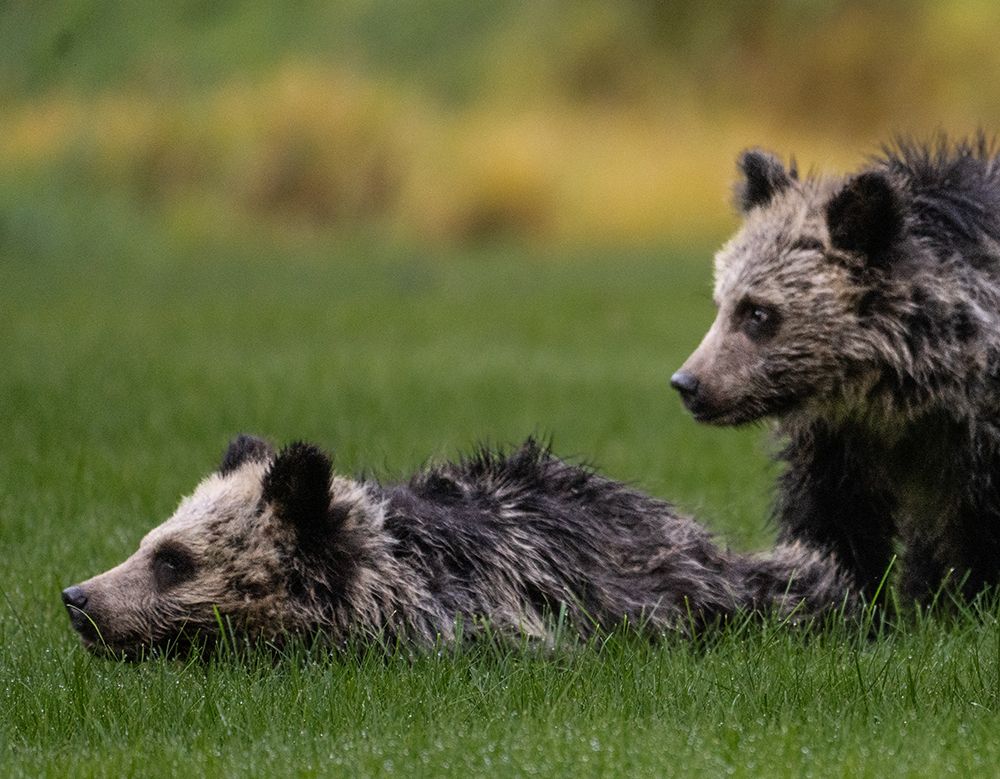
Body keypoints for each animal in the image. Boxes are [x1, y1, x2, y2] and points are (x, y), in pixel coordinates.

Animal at [671, 134, 1000, 604]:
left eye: (758, 312)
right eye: (722, 304)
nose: (688, 383)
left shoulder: (975, 437)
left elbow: (976, 528)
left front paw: (967, 597)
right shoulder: (840, 440)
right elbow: (834, 517)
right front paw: (847, 589)